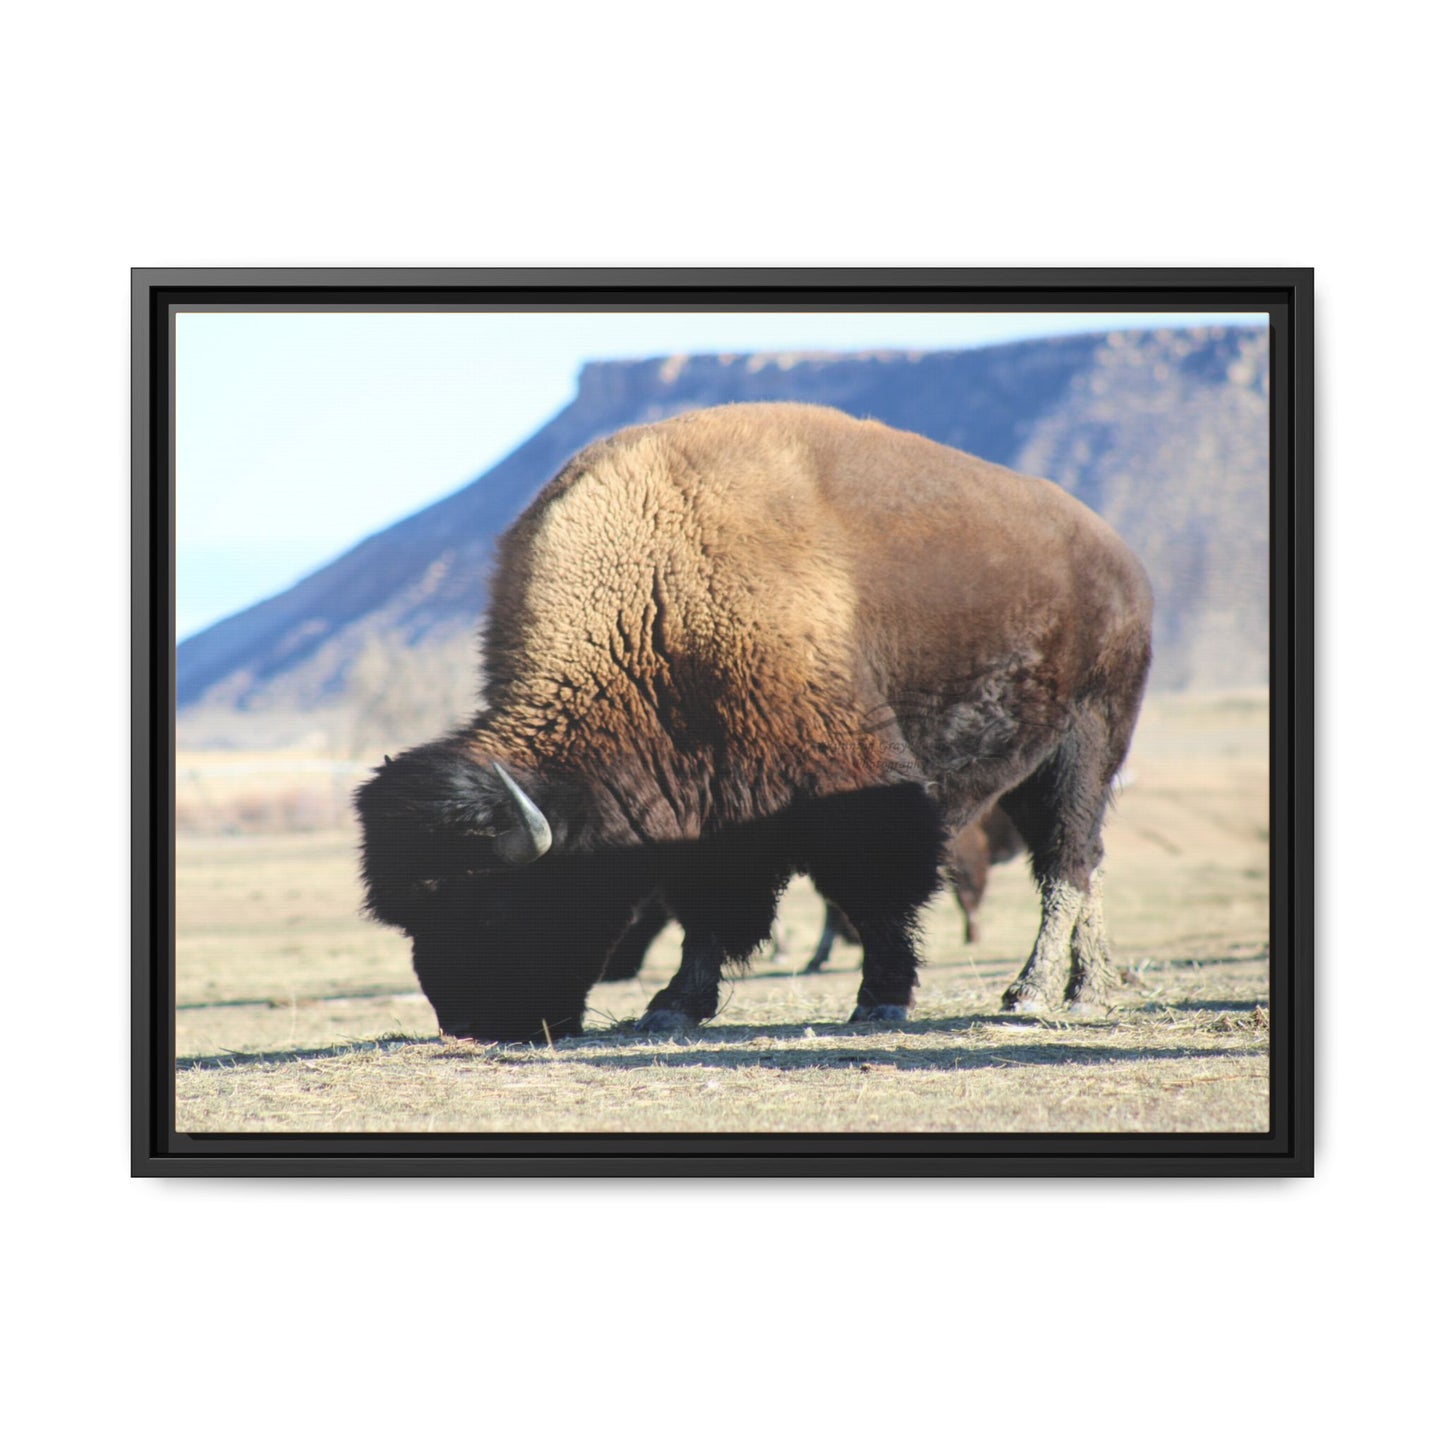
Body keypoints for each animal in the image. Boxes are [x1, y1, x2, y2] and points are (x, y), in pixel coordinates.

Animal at [356, 402, 1152, 1041]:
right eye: (411, 917)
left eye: (490, 904)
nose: (469, 1023)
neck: (654, 602)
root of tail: (1118, 557)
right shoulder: (705, 809)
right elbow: (708, 910)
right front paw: (672, 1006)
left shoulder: (850, 784)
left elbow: (876, 891)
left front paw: (881, 999)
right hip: (1031, 768)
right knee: (1081, 862)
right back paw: (1088, 986)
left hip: (1087, 742)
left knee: (1066, 861)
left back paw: (1037, 993)